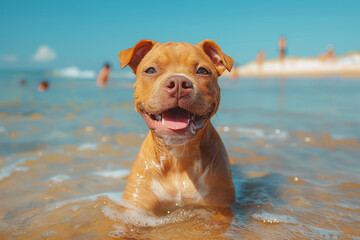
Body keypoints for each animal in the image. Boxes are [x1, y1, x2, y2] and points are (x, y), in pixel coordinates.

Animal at [119, 39, 236, 214]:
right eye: (151, 70)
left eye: (202, 71)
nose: (179, 83)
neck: (178, 159)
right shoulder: (136, 206)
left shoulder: (221, 207)